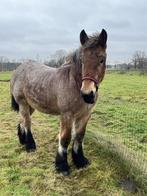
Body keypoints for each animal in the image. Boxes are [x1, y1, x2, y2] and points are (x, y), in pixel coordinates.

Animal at [10, 28, 107, 175]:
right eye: (82, 60)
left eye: (102, 59)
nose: (87, 94)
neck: (74, 83)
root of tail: (18, 69)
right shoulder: (67, 115)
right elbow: (65, 138)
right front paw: (62, 166)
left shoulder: (85, 115)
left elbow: (79, 136)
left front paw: (80, 161)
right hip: (23, 104)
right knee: (27, 123)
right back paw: (30, 145)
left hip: (30, 106)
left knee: (22, 121)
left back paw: (22, 140)